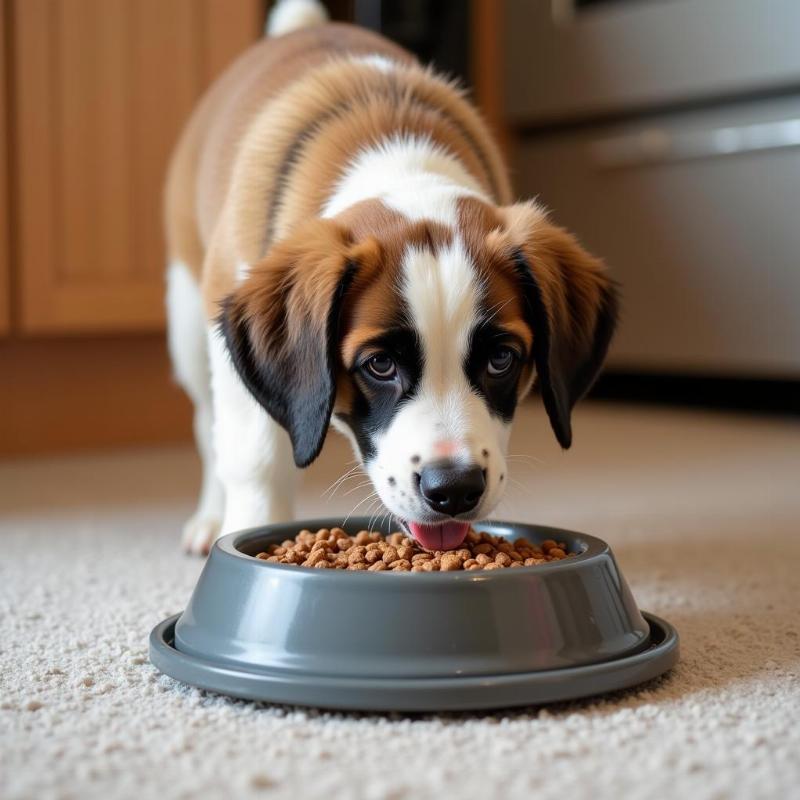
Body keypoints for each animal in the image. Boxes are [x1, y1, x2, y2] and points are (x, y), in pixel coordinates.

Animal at [164, 0, 620, 556]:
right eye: (380, 365)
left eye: (501, 359)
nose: (454, 489)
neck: (402, 165)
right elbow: (254, 459)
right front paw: (246, 526)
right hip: (190, 318)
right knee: (207, 422)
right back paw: (210, 517)